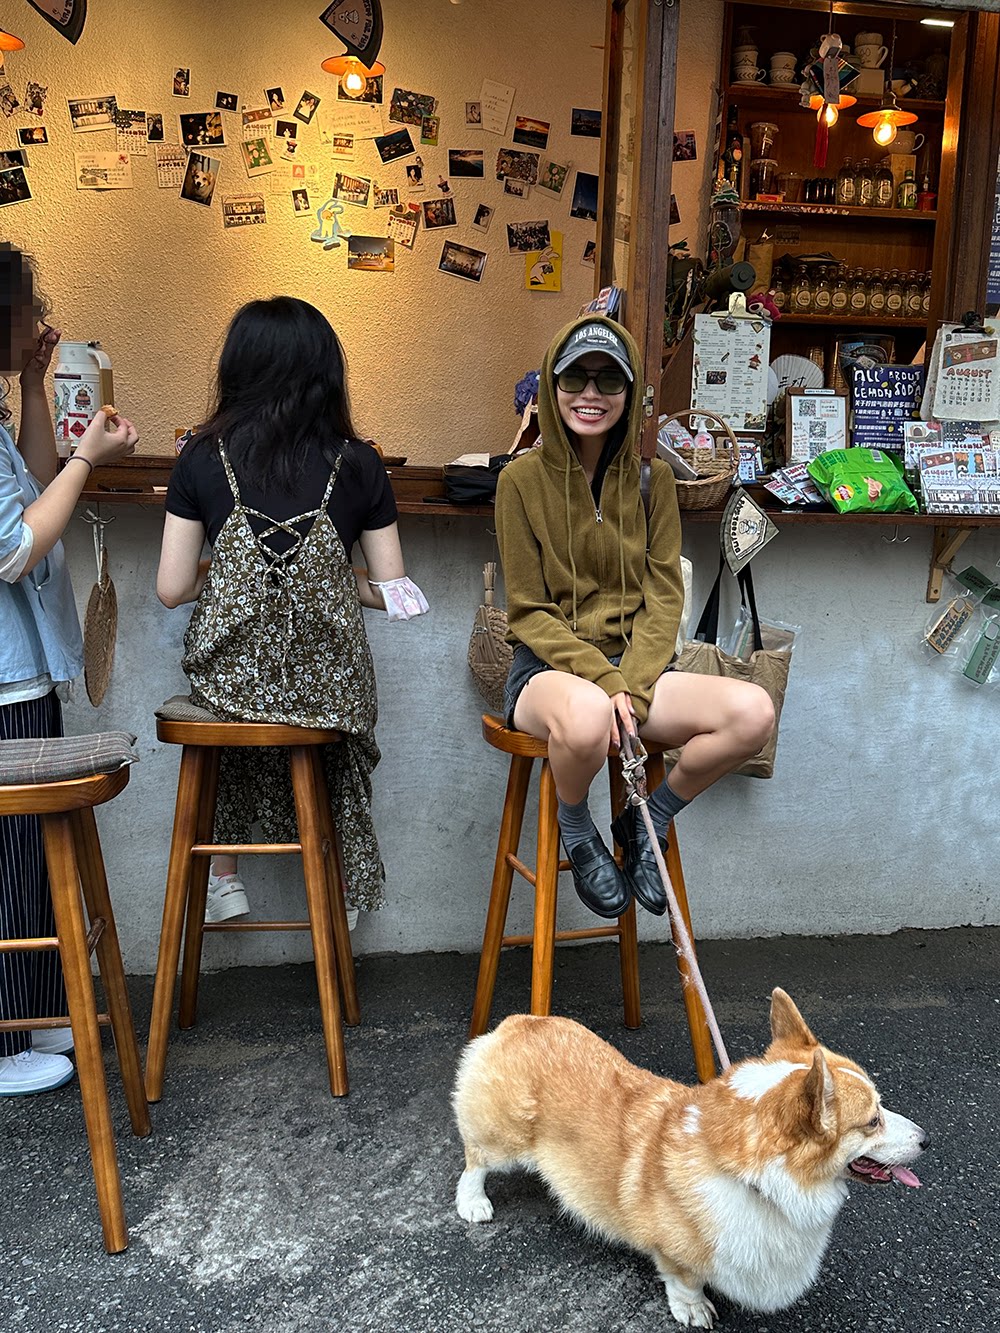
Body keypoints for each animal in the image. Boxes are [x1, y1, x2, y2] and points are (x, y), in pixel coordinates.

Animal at [453, 990, 927, 1328]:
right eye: (872, 1122)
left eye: (880, 1108)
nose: (927, 1139)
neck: (760, 1181)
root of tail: (522, 1021)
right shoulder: (675, 1252)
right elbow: (684, 1281)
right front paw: (693, 1310)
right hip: (503, 1139)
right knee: (474, 1160)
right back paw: (473, 1202)